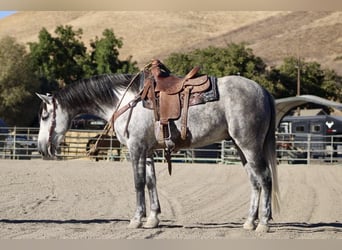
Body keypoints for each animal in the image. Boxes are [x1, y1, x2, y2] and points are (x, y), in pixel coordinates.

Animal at [36, 71, 280, 231]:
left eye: (45, 116)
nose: (41, 148)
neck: (125, 101)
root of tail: (262, 91)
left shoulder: (135, 148)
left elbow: (138, 182)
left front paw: (137, 219)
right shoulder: (148, 151)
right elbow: (150, 181)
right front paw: (153, 218)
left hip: (249, 145)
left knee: (265, 178)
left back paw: (263, 223)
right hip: (241, 148)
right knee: (255, 182)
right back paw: (249, 222)